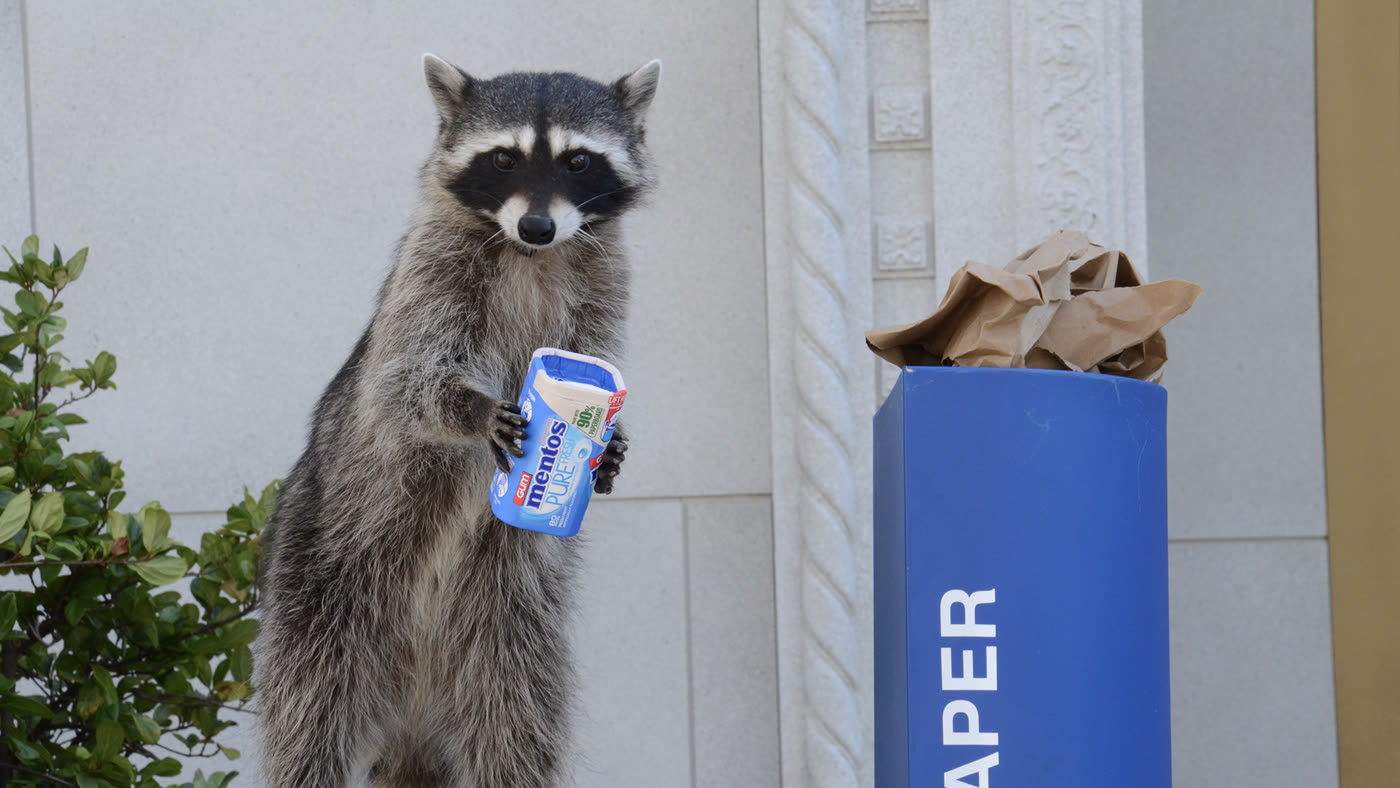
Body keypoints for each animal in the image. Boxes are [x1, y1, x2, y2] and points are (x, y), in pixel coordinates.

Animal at [254, 54, 660, 787]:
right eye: (502, 158)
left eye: (578, 161)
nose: (536, 226)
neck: (532, 257)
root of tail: (412, 706)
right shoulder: (429, 275)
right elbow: (401, 383)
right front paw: (470, 412)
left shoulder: (603, 285)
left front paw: (606, 440)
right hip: (319, 588)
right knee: (308, 719)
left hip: (512, 625)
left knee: (518, 724)